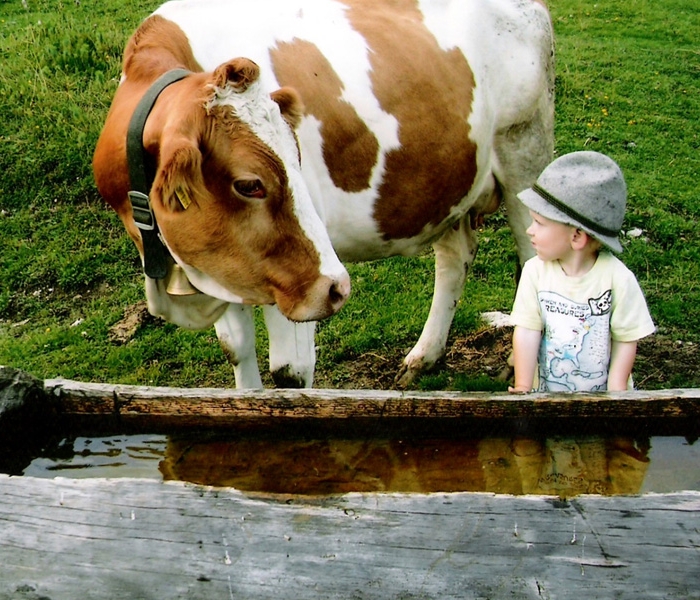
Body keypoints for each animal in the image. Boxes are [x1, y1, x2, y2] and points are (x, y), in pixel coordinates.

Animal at [93, 0, 554, 389]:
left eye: (298, 158)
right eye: (249, 184)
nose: (337, 288)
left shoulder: (301, 279)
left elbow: (290, 373)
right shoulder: (228, 264)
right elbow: (236, 350)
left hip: (525, 157)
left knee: (535, 259)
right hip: (447, 180)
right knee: (455, 257)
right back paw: (424, 356)